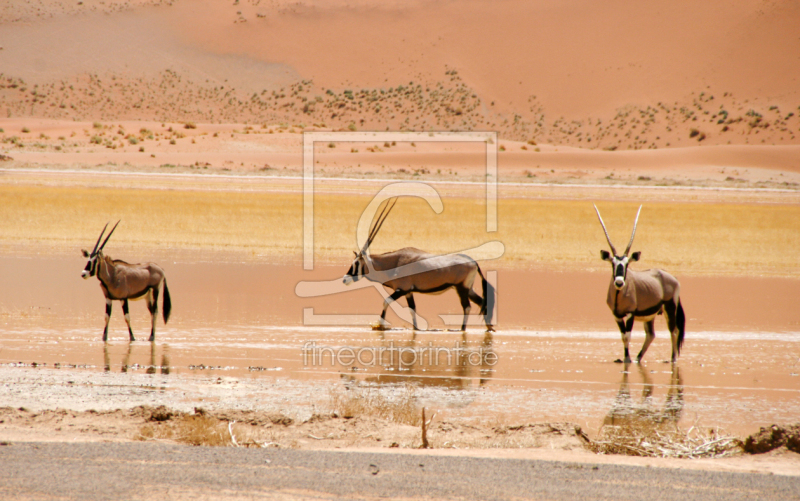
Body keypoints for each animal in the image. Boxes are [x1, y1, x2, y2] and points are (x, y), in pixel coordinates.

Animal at [342, 199, 494, 332]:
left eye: (356, 263)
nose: (345, 279)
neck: (395, 262)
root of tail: (473, 262)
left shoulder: (401, 289)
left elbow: (386, 301)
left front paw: (380, 326)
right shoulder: (408, 292)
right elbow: (412, 309)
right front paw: (415, 328)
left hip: (461, 288)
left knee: (467, 307)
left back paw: (463, 329)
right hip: (468, 289)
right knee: (481, 302)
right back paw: (488, 327)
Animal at [592, 204, 684, 364]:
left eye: (627, 264)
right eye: (613, 263)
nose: (619, 282)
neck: (619, 295)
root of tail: (673, 278)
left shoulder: (630, 314)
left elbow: (627, 336)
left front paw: (627, 359)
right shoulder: (617, 315)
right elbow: (623, 336)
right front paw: (627, 358)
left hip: (670, 308)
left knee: (674, 331)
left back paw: (672, 359)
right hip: (651, 316)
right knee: (651, 334)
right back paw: (638, 358)